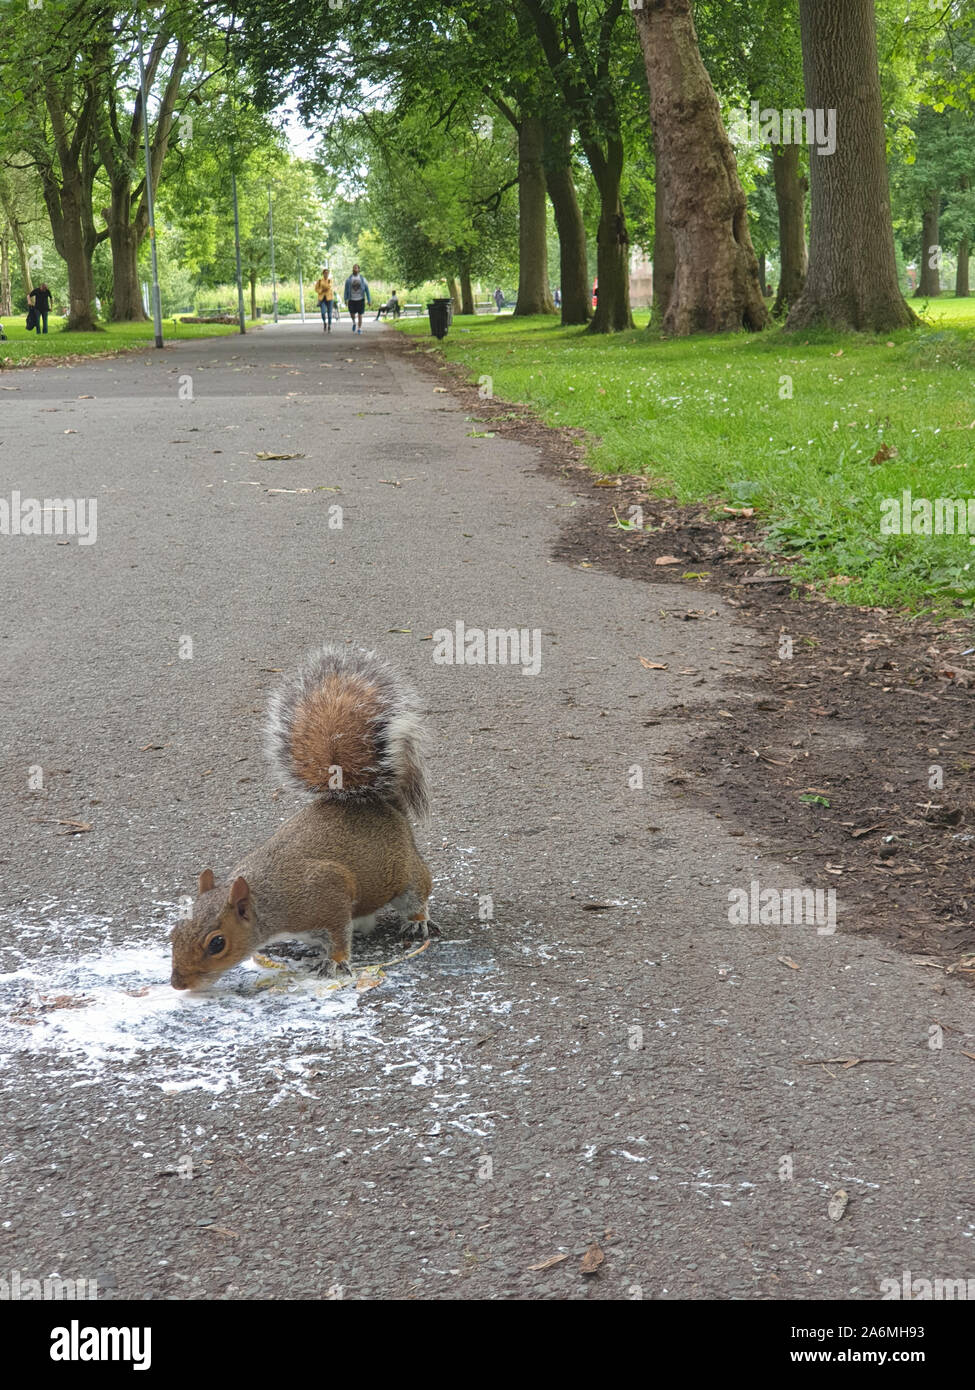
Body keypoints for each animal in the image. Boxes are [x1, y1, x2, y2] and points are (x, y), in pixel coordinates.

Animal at [168, 639, 431, 989]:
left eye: (217, 943)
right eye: (174, 932)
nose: (178, 984)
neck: (267, 900)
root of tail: (382, 805)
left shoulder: (328, 893)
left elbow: (338, 934)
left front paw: (335, 961)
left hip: (406, 872)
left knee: (418, 891)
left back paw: (417, 920)